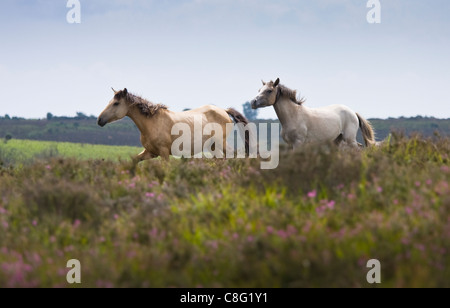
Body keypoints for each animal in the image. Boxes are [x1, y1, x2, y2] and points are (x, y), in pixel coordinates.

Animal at [98, 87, 250, 161]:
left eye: (116, 103)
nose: (99, 120)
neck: (151, 123)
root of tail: (224, 110)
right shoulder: (151, 152)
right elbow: (134, 161)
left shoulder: (164, 152)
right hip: (212, 146)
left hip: (220, 142)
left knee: (232, 155)